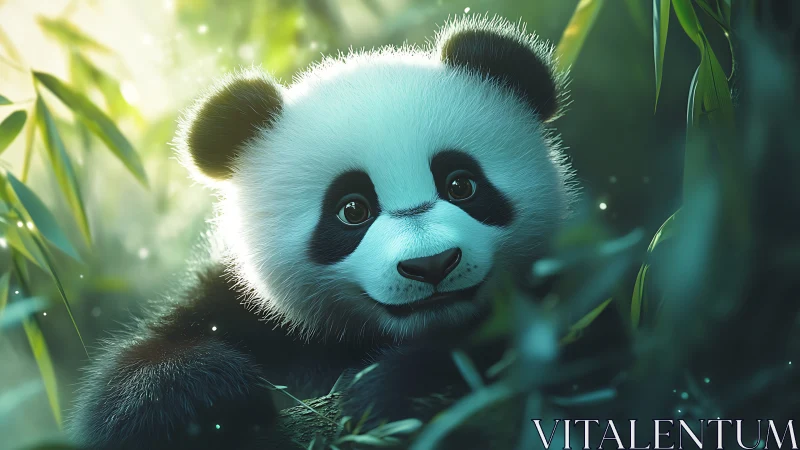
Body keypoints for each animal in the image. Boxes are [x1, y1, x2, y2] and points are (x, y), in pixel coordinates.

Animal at [67, 14, 580, 450]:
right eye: (352, 209)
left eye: (461, 185)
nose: (430, 264)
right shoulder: (246, 309)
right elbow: (130, 385)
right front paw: (207, 398)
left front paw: (389, 390)